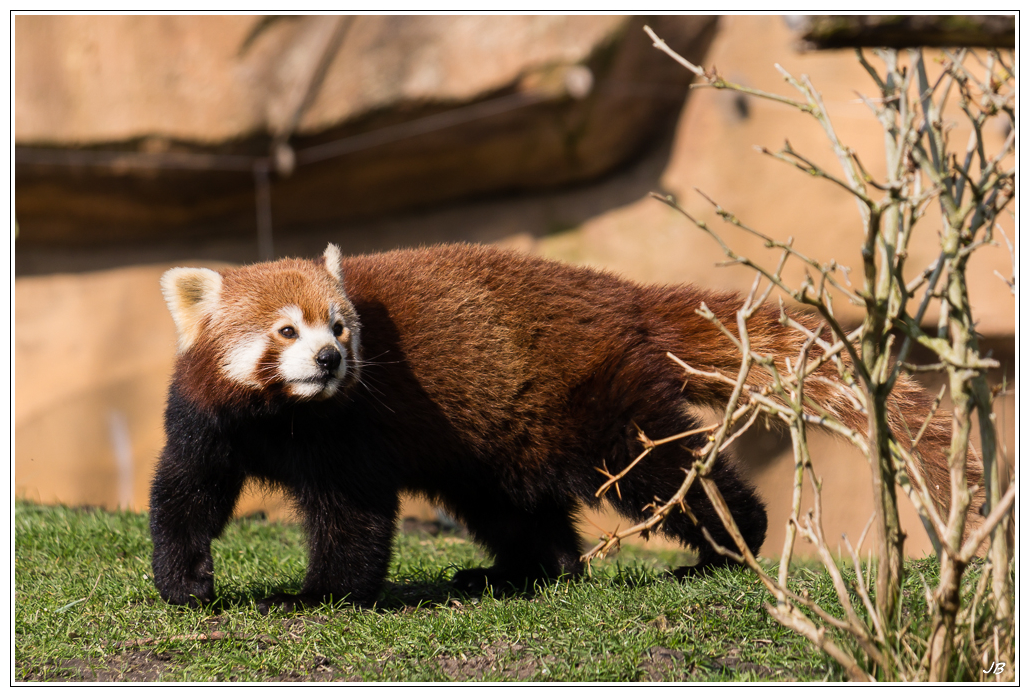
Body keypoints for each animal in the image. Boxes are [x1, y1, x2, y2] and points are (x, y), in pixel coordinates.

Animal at [152, 242, 980, 609]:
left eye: (341, 327)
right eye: (287, 331)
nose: (329, 358)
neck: (285, 420)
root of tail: (620, 293)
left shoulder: (350, 435)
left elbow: (352, 520)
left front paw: (316, 594)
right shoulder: (210, 422)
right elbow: (185, 497)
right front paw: (185, 582)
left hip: (597, 404)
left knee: (669, 474)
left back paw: (727, 544)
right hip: (503, 437)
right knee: (516, 509)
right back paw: (519, 571)